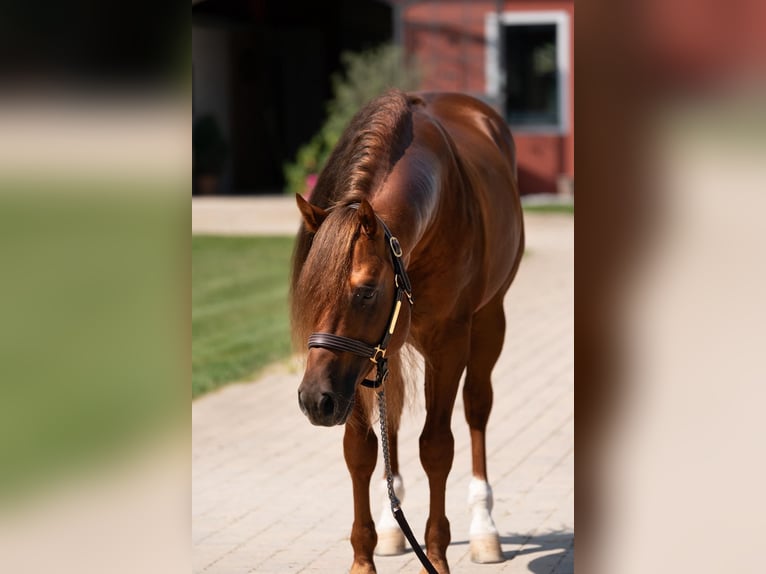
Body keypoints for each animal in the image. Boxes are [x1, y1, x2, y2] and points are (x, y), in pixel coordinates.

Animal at [290, 89, 524, 574]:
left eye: (365, 291)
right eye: (309, 289)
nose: (313, 399)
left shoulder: (448, 344)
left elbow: (436, 448)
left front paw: (434, 556)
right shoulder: (355, 363)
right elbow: (360, 451)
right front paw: (364, 559)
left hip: (489, 321)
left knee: (477, 408)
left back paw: (484, 530)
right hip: (381, 355)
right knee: (391, 421)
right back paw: (393, 527)